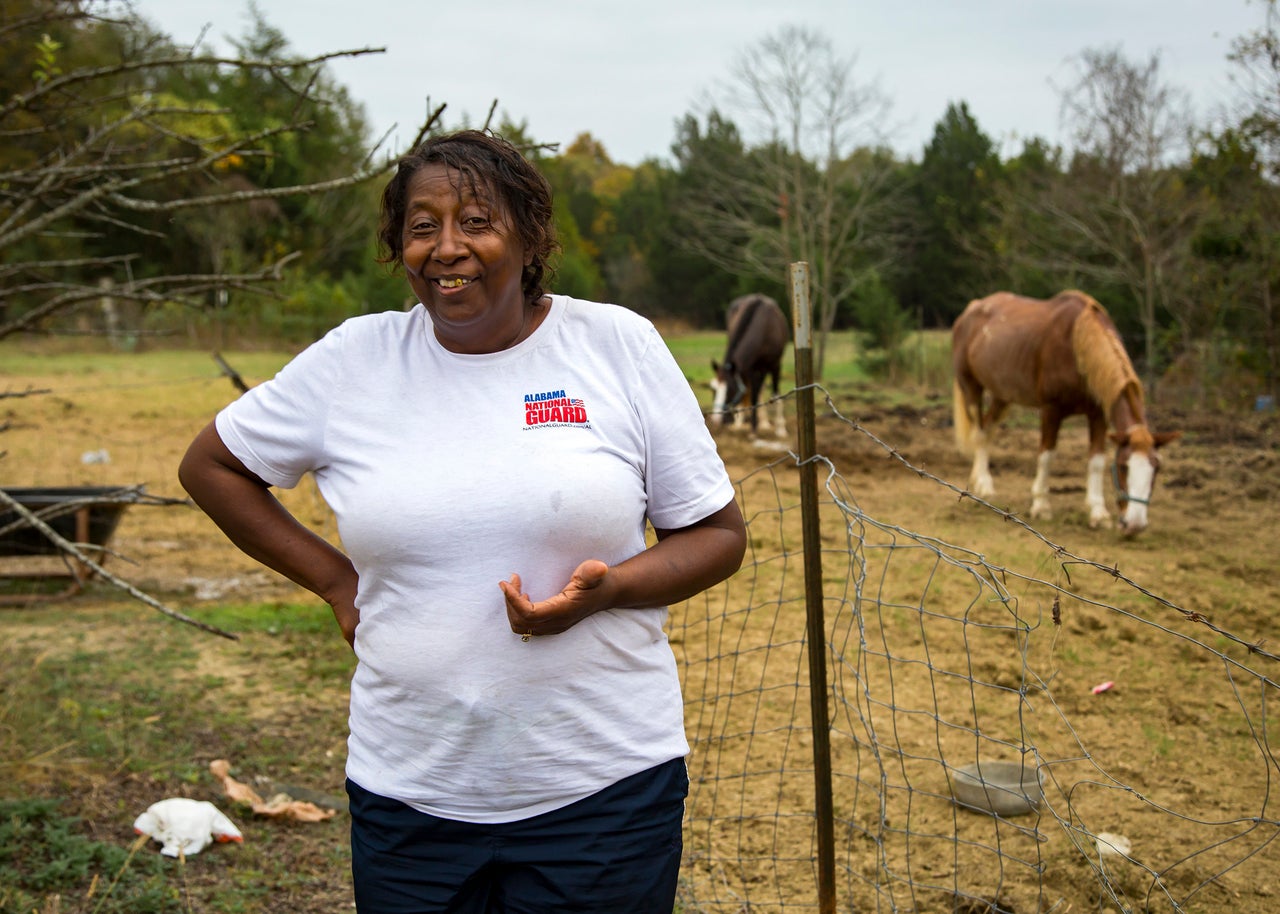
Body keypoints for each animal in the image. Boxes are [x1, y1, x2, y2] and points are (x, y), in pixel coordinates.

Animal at [711, 291, 788, 435]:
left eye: (730, 389)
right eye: (714, 389)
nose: (716, 420)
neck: (764, 328)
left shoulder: (775, 365)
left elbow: (774, 394)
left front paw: (780, 429)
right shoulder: (749, 369)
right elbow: (751, 395)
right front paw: (752, 427)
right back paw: (742, 423)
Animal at [952, 288, 1177, 535]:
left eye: (1156, 469)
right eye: (1123, 467)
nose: (1135, 525)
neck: (1078, 346)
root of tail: (970, 310)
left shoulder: (1098, 415)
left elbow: (1096, 461)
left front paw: (1098, 513)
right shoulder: (1051, 410)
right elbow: (1046, 455)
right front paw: (1041, 506)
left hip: (1002, 395)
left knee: (987, 430)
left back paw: (979, 481)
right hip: (971, 388)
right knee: (979, 432)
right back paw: (984, 484)